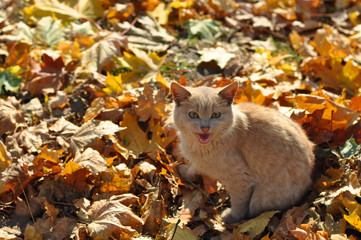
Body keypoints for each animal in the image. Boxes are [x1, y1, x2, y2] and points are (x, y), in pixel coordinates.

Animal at [169, 80, 312, 223]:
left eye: (216, 115)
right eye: (193, 114)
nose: (205, 128)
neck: (201, 148)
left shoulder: (241, 180)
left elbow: (239, 203)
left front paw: (231, 217)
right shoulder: (200, 162)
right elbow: (194, 168)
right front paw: (184, 172)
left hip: (259, 199)